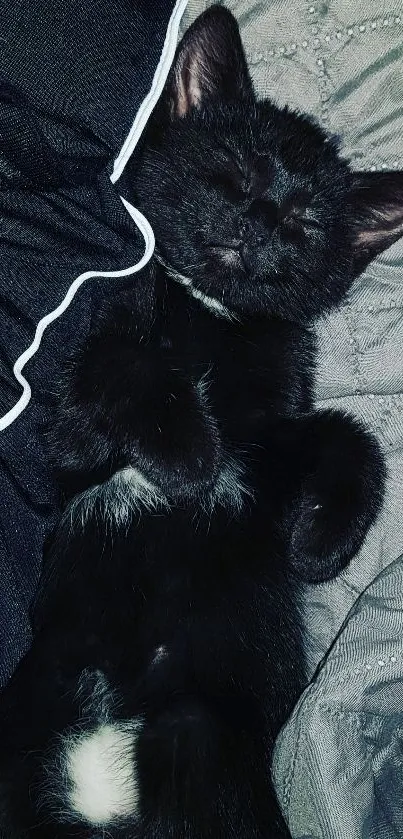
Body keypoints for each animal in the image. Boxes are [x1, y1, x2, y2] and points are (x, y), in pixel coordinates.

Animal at [0, 6, 403, 839]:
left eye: (304, 220)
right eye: (234, 173)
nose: (257, 223)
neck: (212, 318)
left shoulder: (264, 455)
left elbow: (347, 434)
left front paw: (319, 545)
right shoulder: (73, 443)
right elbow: (124, 362)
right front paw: (186, 450)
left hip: (201, 737)